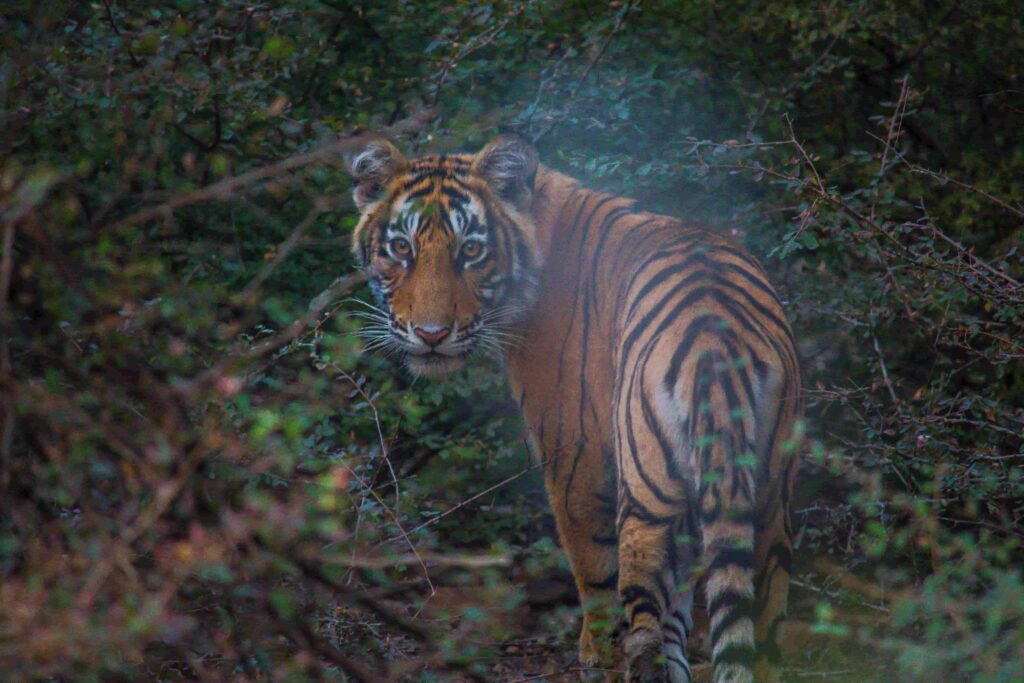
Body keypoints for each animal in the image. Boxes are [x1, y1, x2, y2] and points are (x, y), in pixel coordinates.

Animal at [348, 135, 802, 683]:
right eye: (402, 248)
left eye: (472, 251)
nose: (431, 336)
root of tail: (715, 338)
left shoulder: (574, 452)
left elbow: (593, 568)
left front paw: (593, 652)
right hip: (768, 496)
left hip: (645, 487)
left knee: (642, 615)